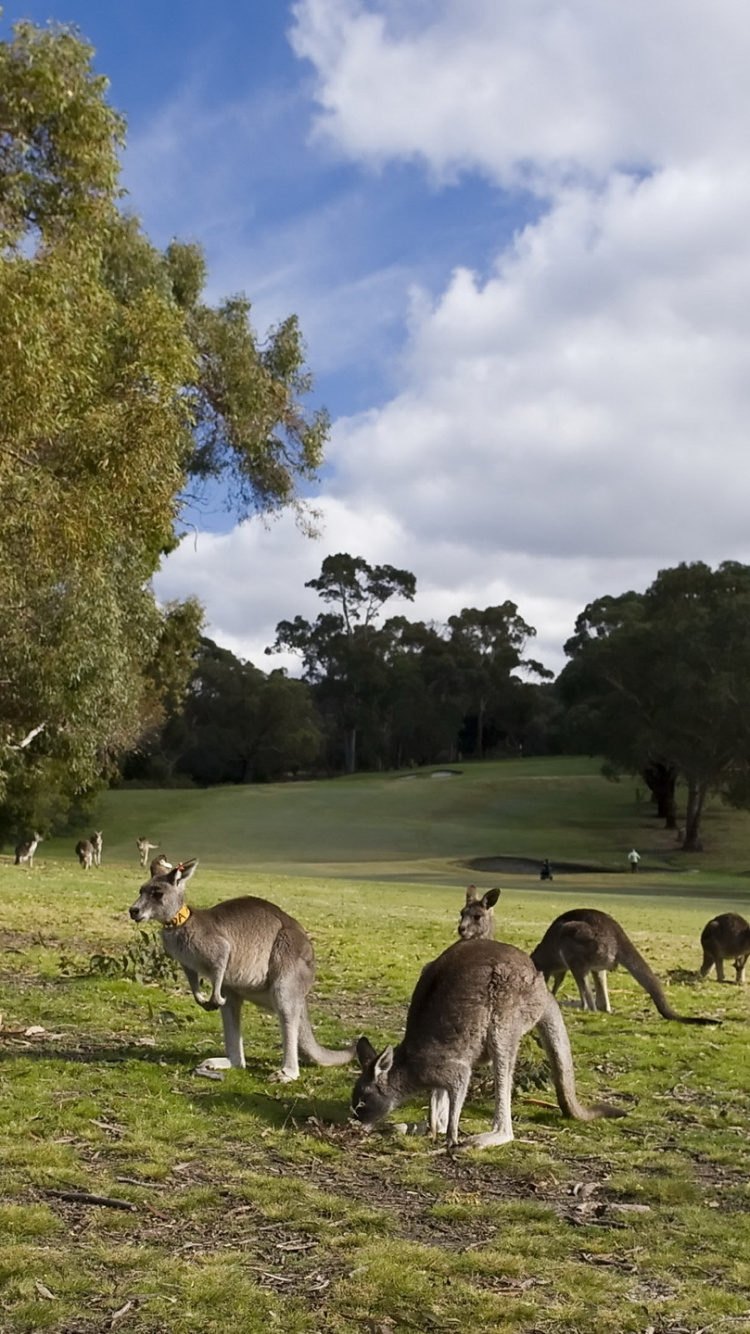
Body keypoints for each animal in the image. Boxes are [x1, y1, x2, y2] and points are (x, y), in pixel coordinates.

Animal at [128, 859, 354, 1082]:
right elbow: (193, 980)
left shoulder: (219, 947)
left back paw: (286, 1073)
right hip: (238, 989)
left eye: (157, 894)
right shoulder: (187, 963)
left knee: (286, 1012)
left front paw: (214, 998)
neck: (179, 924)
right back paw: (219, 1063)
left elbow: (220, 964)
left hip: (287, 966)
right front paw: (202, 999)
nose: (133, 910)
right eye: (140, 891)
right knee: (234, 1030)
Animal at [351, 937, 626, 1149]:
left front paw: (450, 1136)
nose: (355, 1124)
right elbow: (438, 1097)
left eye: (363, 1103)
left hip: (504, 1014)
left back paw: (482, 1138)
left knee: (503, 1072)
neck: (408, 1066)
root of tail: (542, 988)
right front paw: (433, 1129)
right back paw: (418, 1127)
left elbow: (457, 1087)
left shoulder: (453, 1069)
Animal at [530, 908, 719, 1025]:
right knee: (599, 986)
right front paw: (553, 994)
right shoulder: (558, 969)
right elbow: (558, 980)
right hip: (597, 960)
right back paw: (600, 1007)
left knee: (585, 985)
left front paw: (552, 996)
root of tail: (617, 934)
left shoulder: (554, 966)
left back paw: (586, 1008)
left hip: (574, 940)